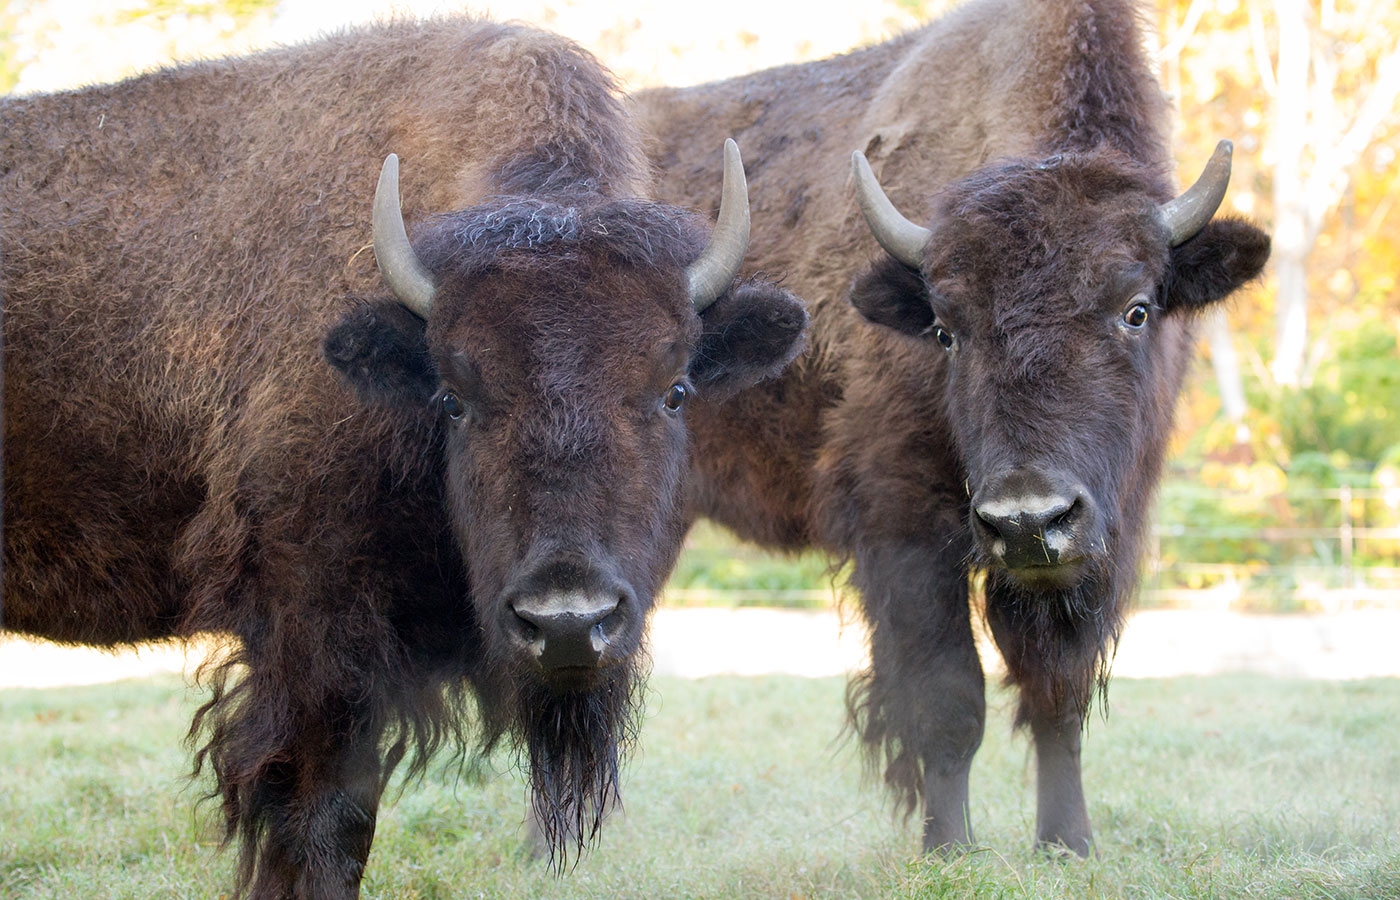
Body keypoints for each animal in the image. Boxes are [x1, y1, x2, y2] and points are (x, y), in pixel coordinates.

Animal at [641, 0, 1276, 856]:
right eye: (946, 329)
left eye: (1137, 309)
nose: (1028, 518)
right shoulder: (904, 528)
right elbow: (947, 698)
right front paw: (949, 846)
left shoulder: (1104, 538)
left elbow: (1057, 692)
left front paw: (1066, 845)